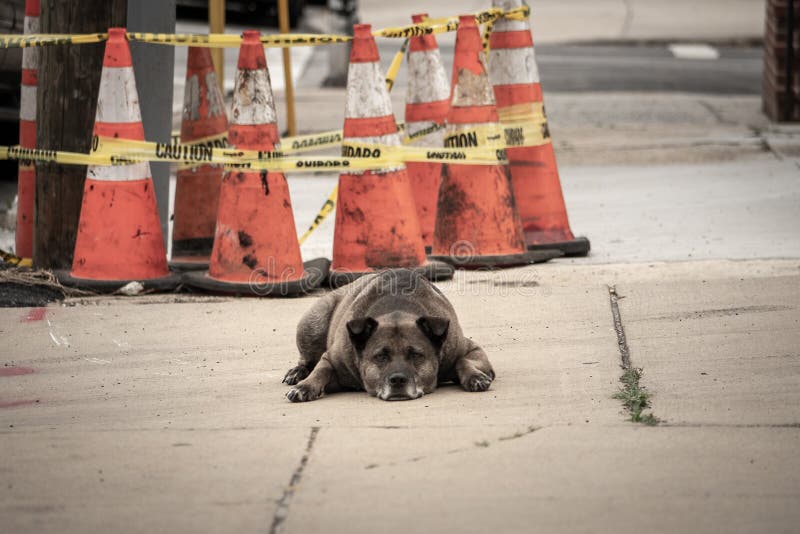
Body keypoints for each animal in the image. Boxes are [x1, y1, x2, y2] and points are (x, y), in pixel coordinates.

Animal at [282, 270, 494, 404]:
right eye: (380, 356)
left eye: (416, 355)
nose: (398, 380)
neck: (397, 309)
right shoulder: (332, 358)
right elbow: (321, 370)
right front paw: (305, 386)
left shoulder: (471, 350)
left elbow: (463, 361)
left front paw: (474, 376)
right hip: (315, 320)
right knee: (308, 359)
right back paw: (298, 372)